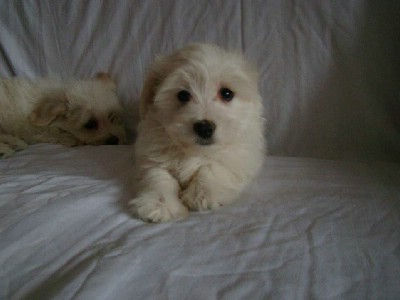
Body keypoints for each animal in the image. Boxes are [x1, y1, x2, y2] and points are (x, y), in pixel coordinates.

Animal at [128, 44, 266, 223]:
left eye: (226, 93)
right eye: (183, 95)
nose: (204, 128)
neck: (194, 151)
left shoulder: (241, 157)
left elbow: (213, 166)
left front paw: (202, 194)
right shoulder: (150, 156)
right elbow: (158, 177)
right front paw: (159, 204)